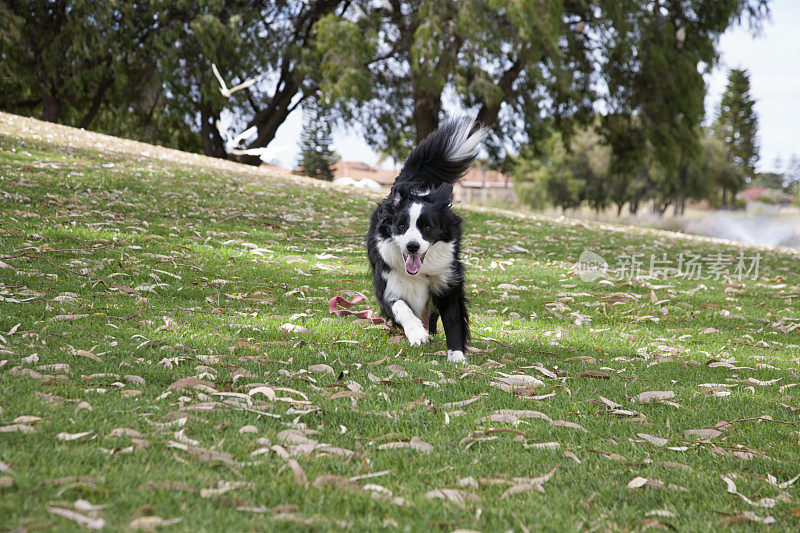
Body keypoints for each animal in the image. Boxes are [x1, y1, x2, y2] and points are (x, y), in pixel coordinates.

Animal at [366, 118, 484, 364]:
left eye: (427, 228)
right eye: (402, 226)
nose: (412, 246)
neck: (420, 273)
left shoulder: (447, 281)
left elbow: (453, 319)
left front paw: (457, 356)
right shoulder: (388, 284)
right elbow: (401, 307)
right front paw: (417, 334)